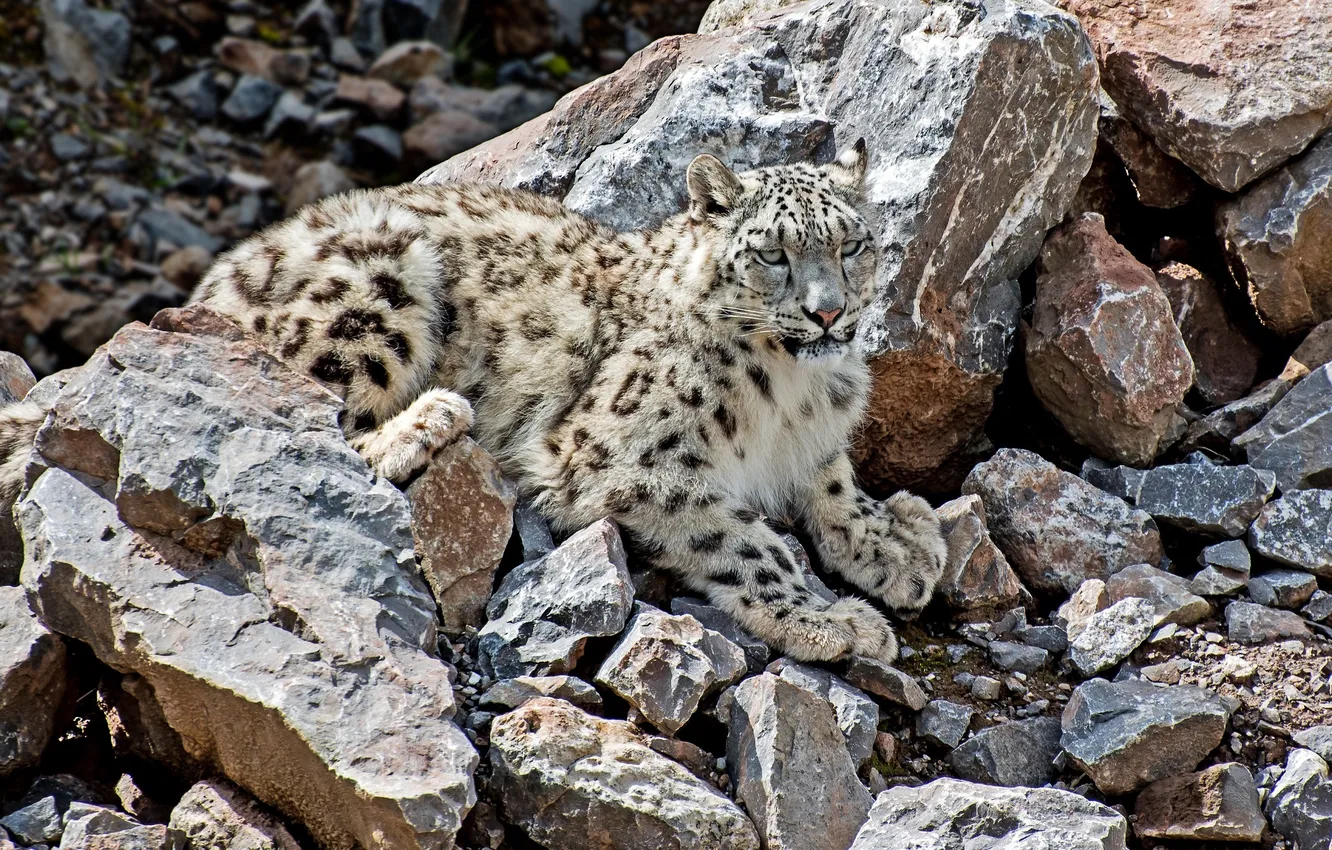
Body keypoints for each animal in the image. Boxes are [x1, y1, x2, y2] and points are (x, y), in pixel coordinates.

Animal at [0, 145, 948, 666]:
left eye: (852, 244)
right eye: (774, 255)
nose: (828, 313)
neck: (793, 389)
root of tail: (208, 286)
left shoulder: (816, 439)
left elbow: (831, 483)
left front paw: (896, 543)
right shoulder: (619, 457)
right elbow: (745, 541)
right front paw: (832, 620)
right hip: (373, 291)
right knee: (302, 415)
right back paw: (428, 420)